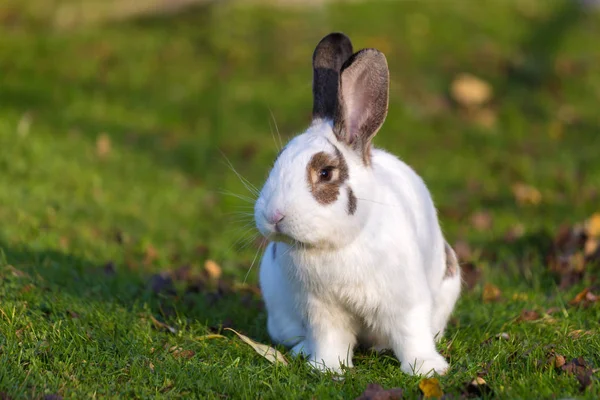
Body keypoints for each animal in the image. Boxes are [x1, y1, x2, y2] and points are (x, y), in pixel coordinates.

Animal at [253, 32, 460, 376]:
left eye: (326, 173)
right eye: (275, 163)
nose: (274, 216)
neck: (337, 246)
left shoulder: (406, 300)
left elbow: (411, 335)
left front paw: (428, 369)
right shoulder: (321, 310)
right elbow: (330, 339)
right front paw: (326, 368)